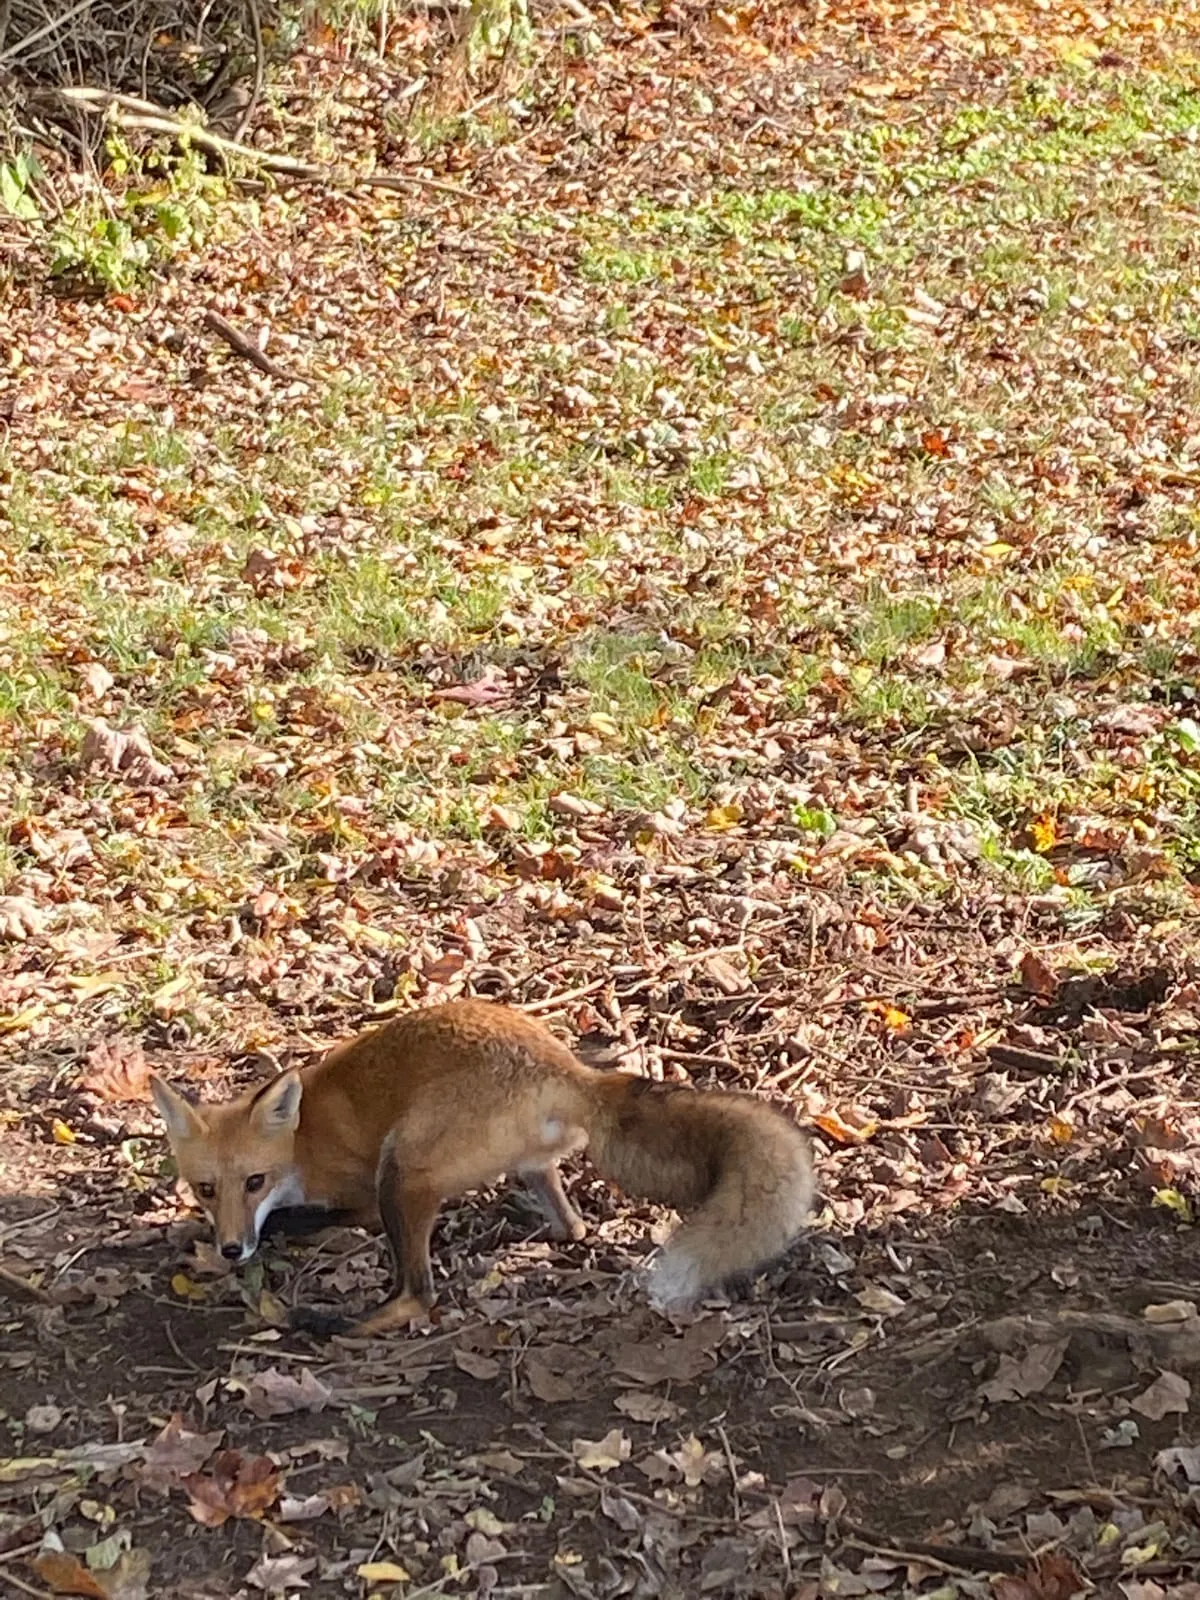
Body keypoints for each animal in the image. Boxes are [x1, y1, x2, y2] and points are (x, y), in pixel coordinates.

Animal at [149, 999, 813, 1336]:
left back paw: (332, 1324)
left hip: (401, 1171)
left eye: (254, 1181)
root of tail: (569, 1069)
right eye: (205, 1188)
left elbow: (301, 1220)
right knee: (571, 1226)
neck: (303, 1138)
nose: (232, 1248)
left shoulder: (360, 1195)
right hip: (511, 1168)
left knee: (417, 1297)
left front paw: (266, 1239)